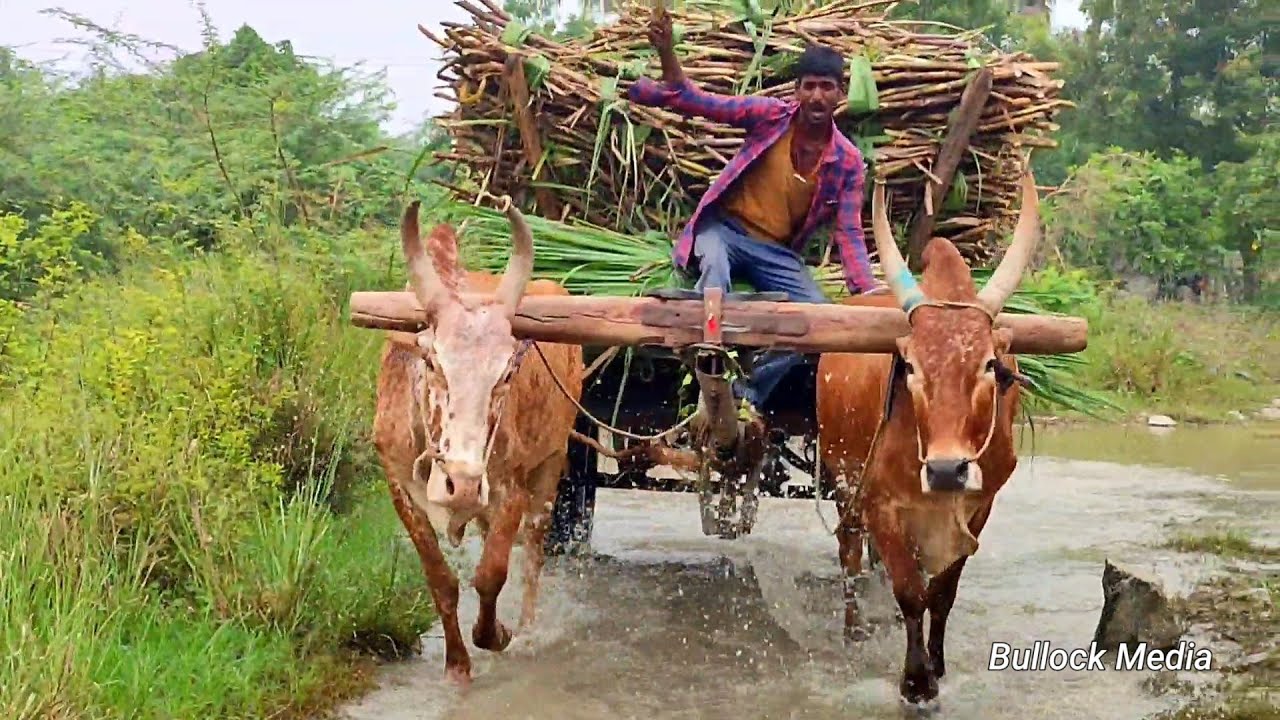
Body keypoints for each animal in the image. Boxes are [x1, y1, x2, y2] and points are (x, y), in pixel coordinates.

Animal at [372, 198, 585, 687]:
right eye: (432, 361)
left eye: (506, 372)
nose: (464, 484)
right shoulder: (398, 486)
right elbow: (440, 579)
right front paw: (457, 662)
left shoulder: (511, 489)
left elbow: (492, 574)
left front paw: (497, 634)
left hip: (552, 462)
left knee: (534, 551)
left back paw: (526, 626)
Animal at [816, 167, 1041, 707]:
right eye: (912, 366)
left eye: (989, 365)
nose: (944, 470)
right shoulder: (881, 505)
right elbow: (909, 593)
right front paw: (915, 682)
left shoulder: (981, 505)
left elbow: (941, 594)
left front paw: (936, 666)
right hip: (842, 479)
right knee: (850, 555)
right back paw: (855, 630)